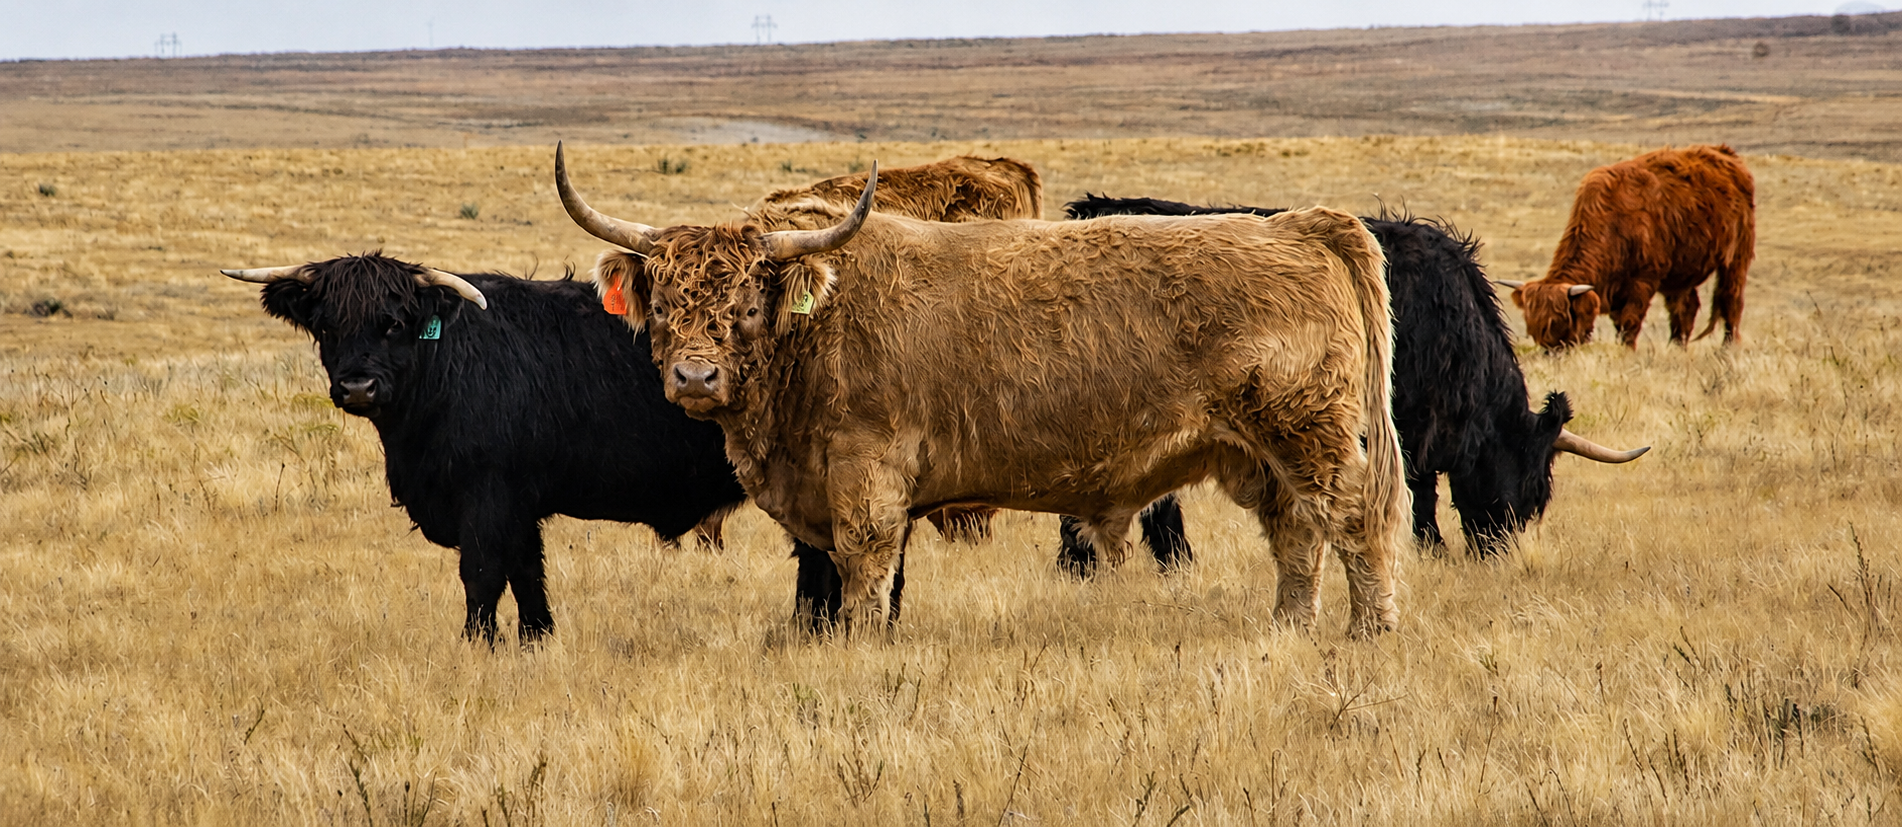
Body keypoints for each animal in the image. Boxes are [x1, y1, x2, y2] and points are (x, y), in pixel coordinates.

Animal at [556, 145, 1412, 637]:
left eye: (743, 302)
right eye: (665, 300)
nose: (695, 377)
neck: (818, 321)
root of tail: (1299, 224)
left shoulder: (867, 477)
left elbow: (866, 566)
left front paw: (863, 643)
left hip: (1313, 437)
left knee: (1354, 524)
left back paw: (1369, 631)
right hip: (1259, 454)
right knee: (1295, 536)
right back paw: (1287, 628)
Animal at [1498, 144, 1755, 350]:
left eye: (1562, 321)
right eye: (1532, 327)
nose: (1552, 352)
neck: (1614, 222)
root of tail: (1725, 155)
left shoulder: (1643, 281)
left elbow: (1629, 323)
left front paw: (1627, 352)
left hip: (1736, 258)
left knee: (1731, 301)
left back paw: (1728, 348)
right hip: (1680, 275)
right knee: (1685, 310)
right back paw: (1676, 348)